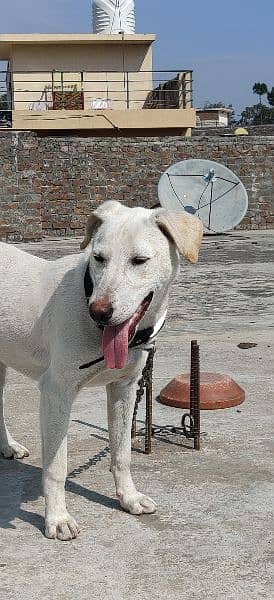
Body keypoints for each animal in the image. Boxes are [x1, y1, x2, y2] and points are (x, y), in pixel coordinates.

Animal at [0, 204, 201, 540]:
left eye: (139, 260)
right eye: (98, 258)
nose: (99, 312)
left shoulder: (125, 389)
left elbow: (121, 453)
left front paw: (128, 499)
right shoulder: (56, 394)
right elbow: (56, 467)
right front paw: (57, 518)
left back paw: (7, 446)